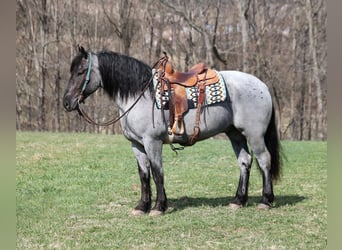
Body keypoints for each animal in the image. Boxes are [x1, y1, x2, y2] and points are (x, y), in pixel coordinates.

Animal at [63, 46, 280, 215]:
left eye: (81, 72)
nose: (66, 102)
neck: (141, 95)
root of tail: (262, 85)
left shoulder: (152, 142)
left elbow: (157, 172)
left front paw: (159, 207)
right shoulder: (136, 145)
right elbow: (143, 174)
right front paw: (142, 206)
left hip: (254, 135)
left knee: (264, 160)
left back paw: (265, 200)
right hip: (235, 134)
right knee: (245, 161)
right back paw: (238, 201)